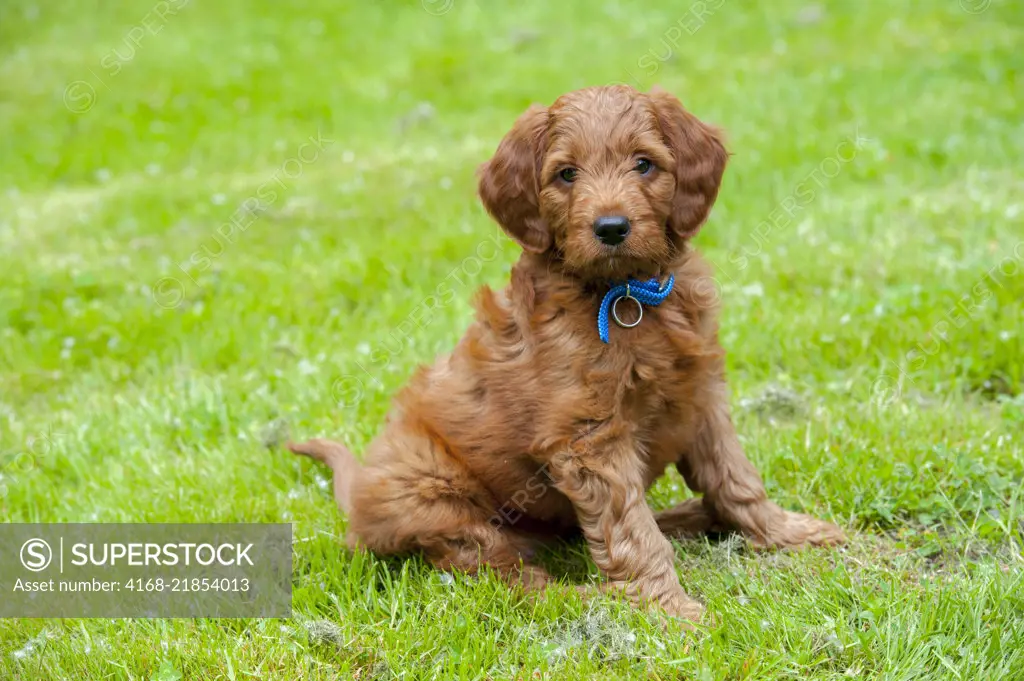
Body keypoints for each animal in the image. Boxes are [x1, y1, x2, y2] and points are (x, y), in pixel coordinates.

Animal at [290, 84, 847, 622]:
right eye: (566, 174)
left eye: (644, 163)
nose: (611, 227)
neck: (627, 297)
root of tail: (356, 496)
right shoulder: (589, 439)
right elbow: (631, 533)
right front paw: (668, 608)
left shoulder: (702, 396)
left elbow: (736, 478)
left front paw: (788, 532)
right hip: (434, 501)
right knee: (510, 578)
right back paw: (605, 598)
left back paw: (693, 516)